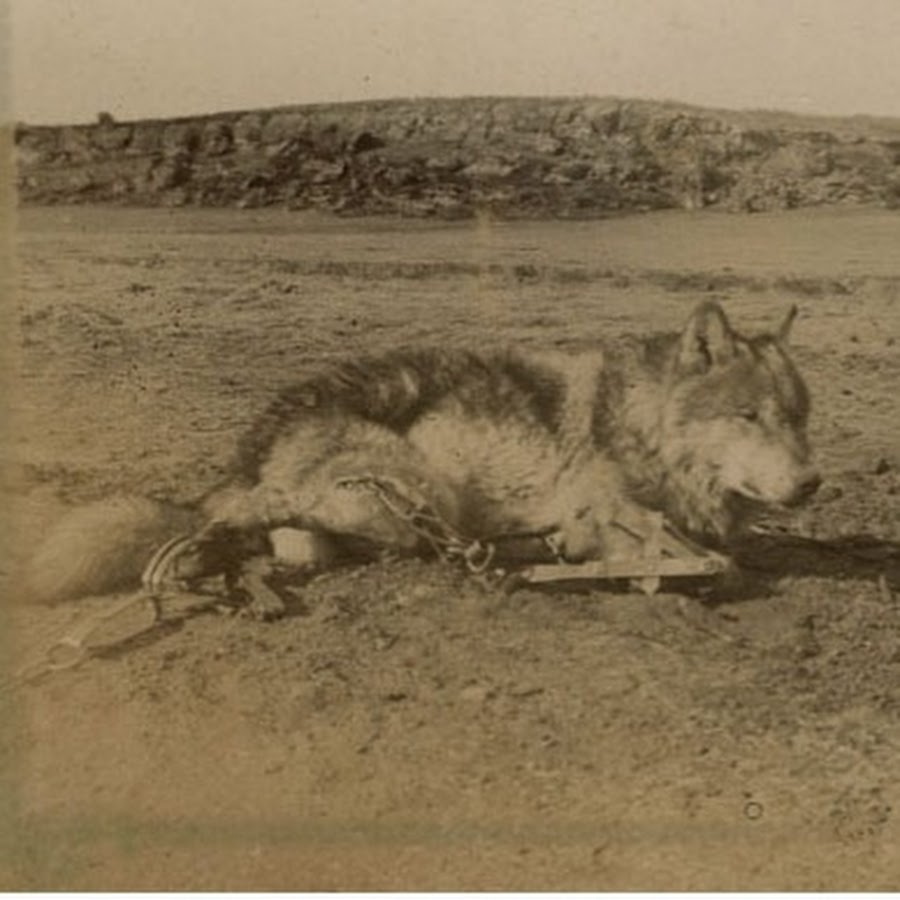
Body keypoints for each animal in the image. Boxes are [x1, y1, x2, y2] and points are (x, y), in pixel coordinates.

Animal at [26, 298, 816, 616]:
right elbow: (694, 553)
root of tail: (255, 448)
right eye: (749, 416)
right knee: (267, 526)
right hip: (408, 490)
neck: (640, 419)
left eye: (800, 417)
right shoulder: (599, 501)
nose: (812, 484)